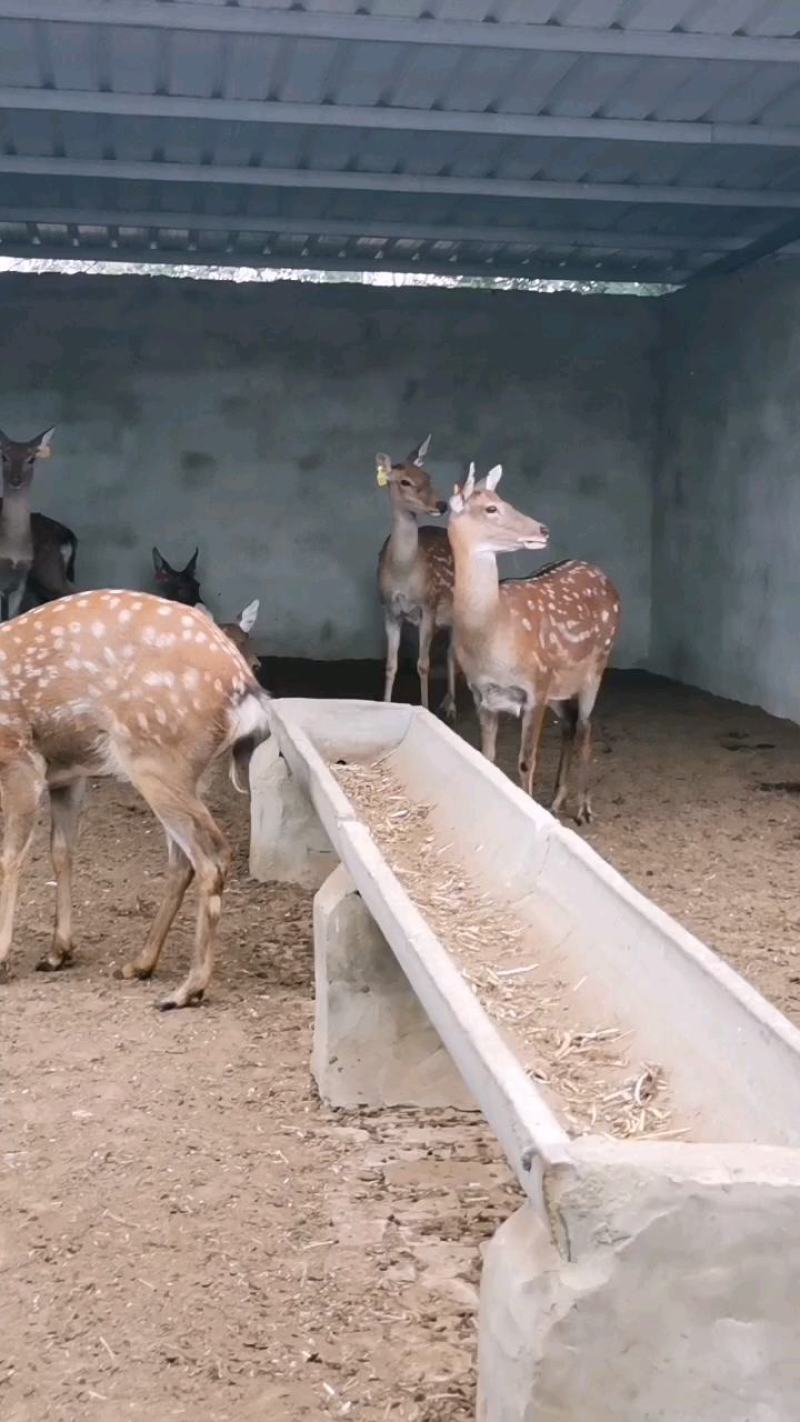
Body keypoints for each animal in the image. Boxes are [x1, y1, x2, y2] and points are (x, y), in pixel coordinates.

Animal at [0, 427, 77, 621]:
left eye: (31, 459)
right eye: (4, 456)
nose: (16, 480)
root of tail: (68, 535)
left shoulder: (19, 578)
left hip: (48, 571)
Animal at [0, 589, 271, 1009]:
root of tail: (244, 689)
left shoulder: (21, 759)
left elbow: (10, 859)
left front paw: (3, 960)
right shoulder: (67, 773)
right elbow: (61, 852)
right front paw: (58, 952)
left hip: (155, 758)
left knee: (211, 854)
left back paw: (186, 989)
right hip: (190, 773)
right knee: (183, 860)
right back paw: (139, 964)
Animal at [376, 435, 457, 720]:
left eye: (428, 475)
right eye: (405, 482)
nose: (442, 505)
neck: (403, 572)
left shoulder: (428, 606)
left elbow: (423, 664)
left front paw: (425, 708)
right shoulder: (390, 609)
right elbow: (391, 664)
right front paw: (384, 705)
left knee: (452, 651)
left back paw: (451, 706)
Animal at [448, 464, 620, 825]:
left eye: (506, 499)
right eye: (491, 508)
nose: (543, 529)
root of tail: (603, 575)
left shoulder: (535, 686)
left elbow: (526, 762)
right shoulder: (482, 693)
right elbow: (487, 757)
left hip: (596, 665)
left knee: (585, 726)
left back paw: (584, 809)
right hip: (559, 685)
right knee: (569, 724)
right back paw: (556, 800)